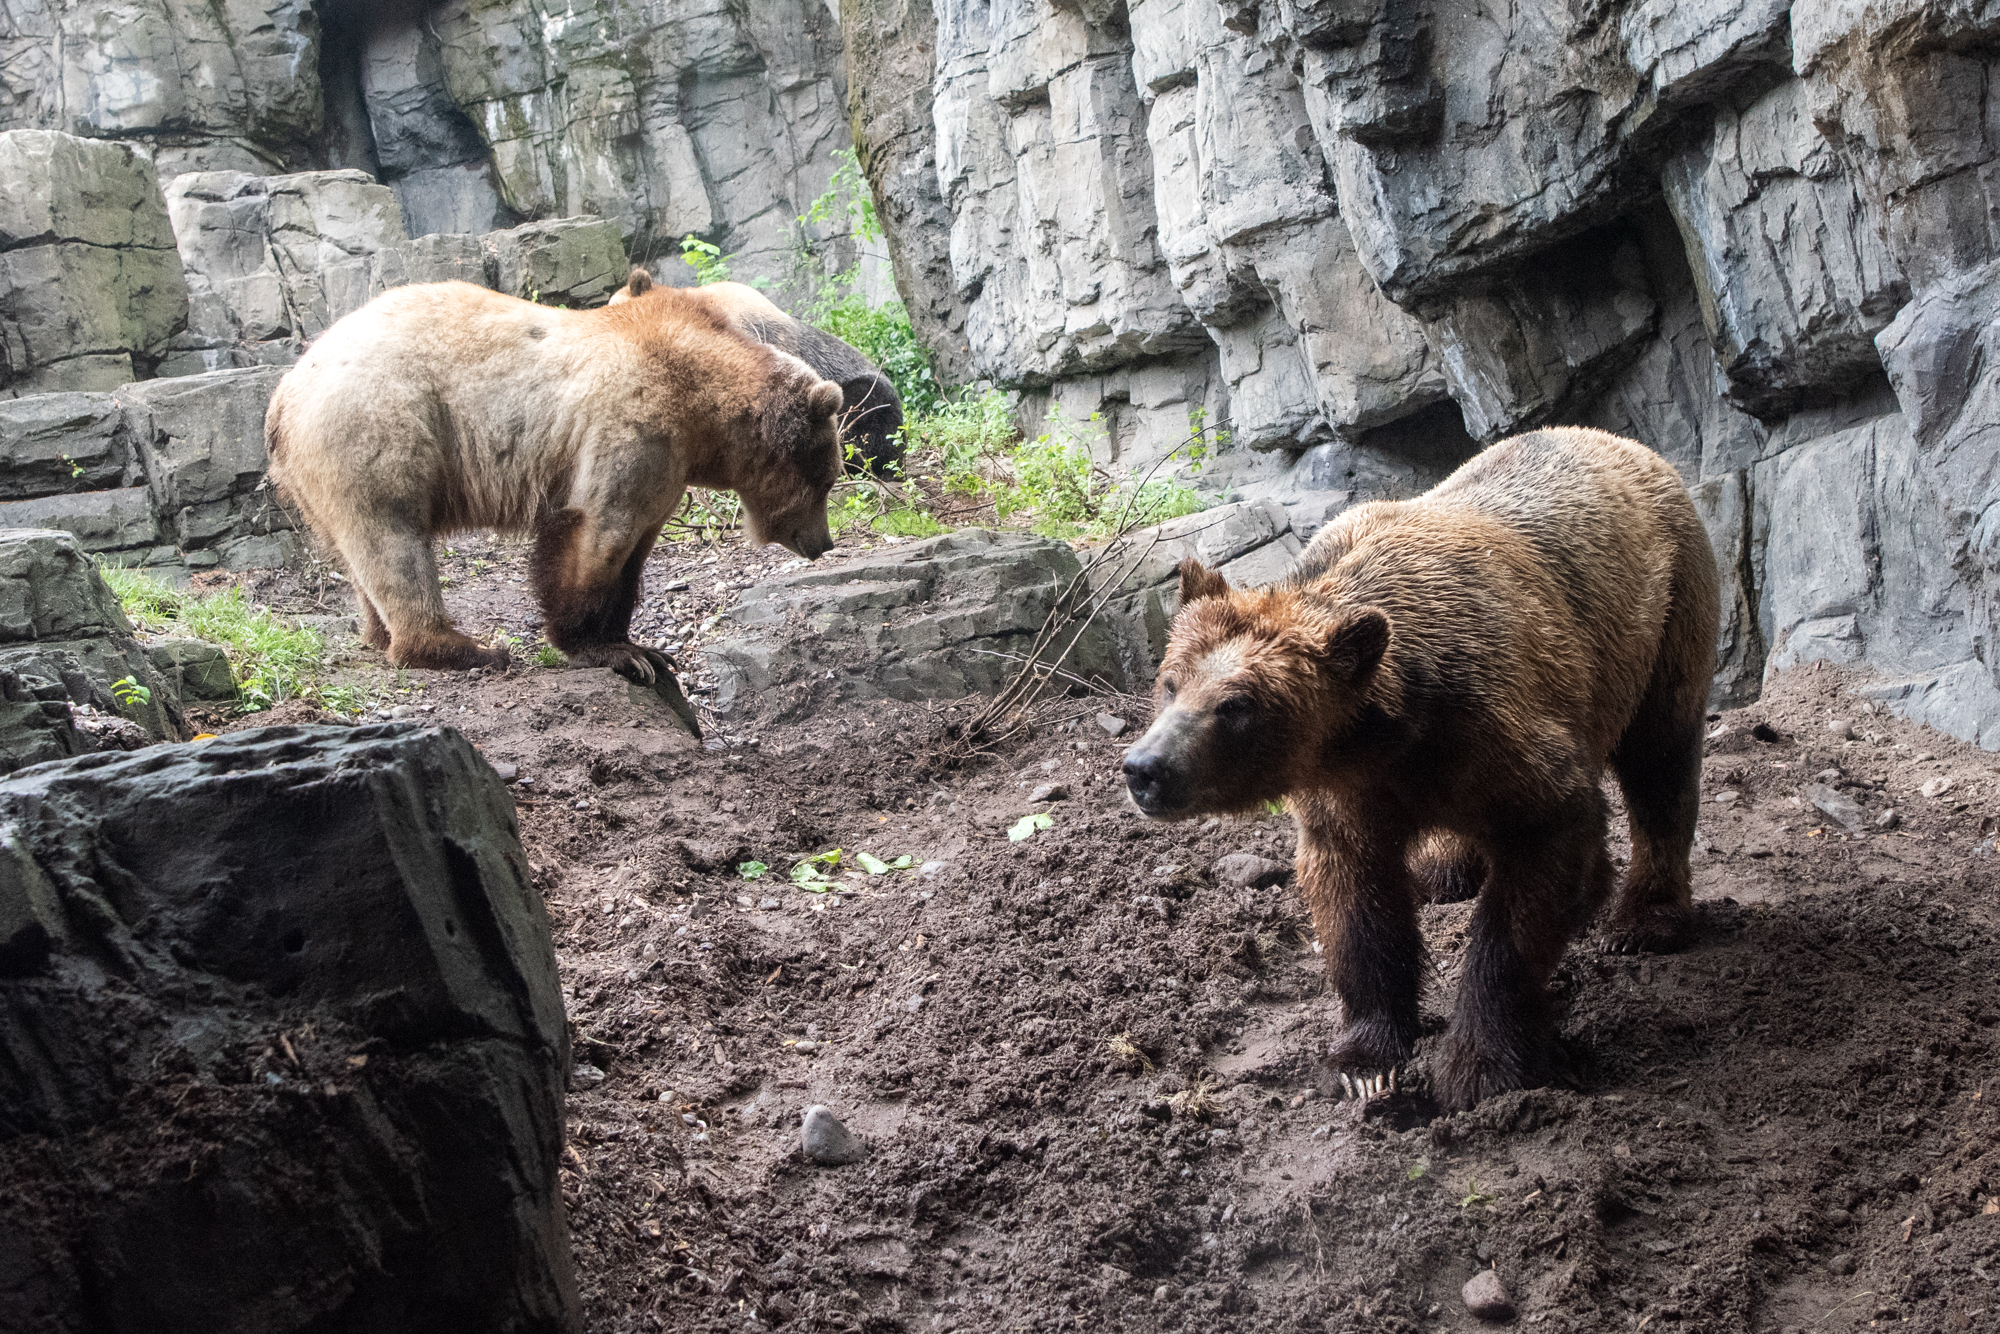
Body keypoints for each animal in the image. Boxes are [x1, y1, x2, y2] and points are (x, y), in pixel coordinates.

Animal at [266, 284, 844, 680]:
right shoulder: (633, 424)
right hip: (376, 425)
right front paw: (610, 650)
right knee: (393, 540)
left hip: (313, 475)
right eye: (828, 481)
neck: (704, 409)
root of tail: (283, 394)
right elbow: (599, 533)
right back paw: (464, 648)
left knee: (361, 554)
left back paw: (378, 633)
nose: (824, 543)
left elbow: (634, 553)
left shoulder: (668, 464)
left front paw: (643, 646)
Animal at [1128, 430, 1720, 1120]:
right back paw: (1446, 868)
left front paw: (1479, 1068)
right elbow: (1357, 902)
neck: (1385, 735)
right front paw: (1367, 1062)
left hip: (1664, 616)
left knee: (1661, 762)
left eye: (1237, 705)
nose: (1144, 769)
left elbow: (1541, 873)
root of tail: (1623, 444)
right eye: (1170, 682)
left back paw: (1647, 919)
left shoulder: (1499, 732)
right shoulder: (1349, 791)